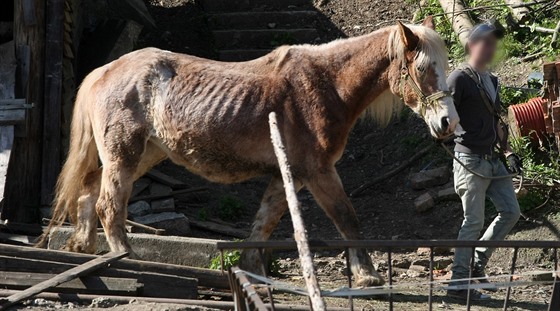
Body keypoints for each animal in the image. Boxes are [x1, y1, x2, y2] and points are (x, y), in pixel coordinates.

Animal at [42, 17, 460, 288]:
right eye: (423, 68)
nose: (447, 123)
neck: (325, 84)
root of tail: (105, 70)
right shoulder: (318, 171)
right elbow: (347, 218)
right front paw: (367, 275)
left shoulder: (287, 175)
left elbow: (265, 222)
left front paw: (251, 269)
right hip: (125, 154)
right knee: (109, 205)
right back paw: (125, 257)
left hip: (143, 154)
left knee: (89, 191)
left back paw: (84, 249)